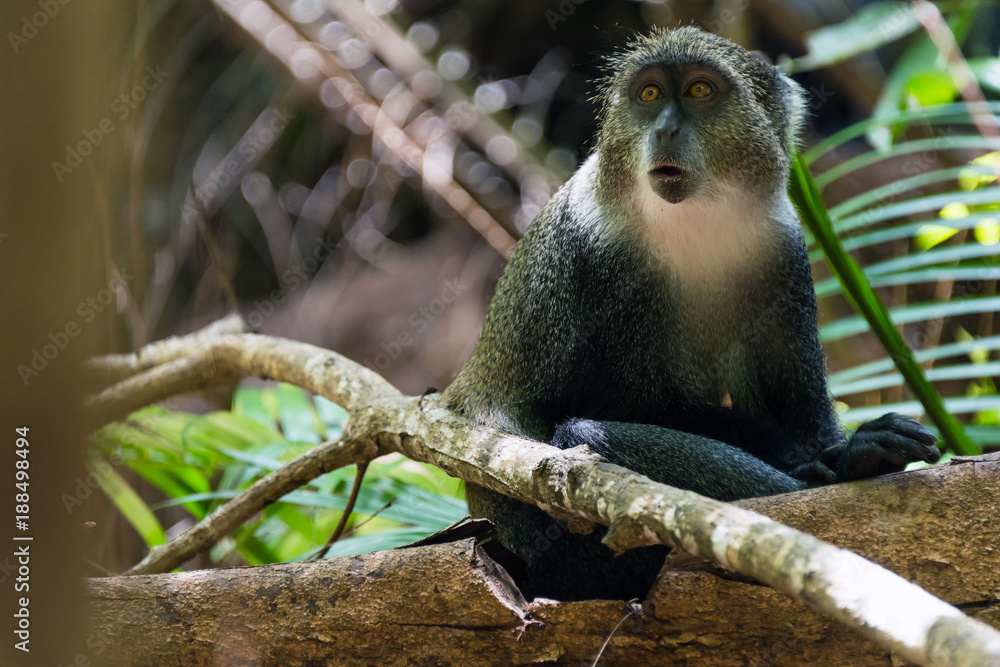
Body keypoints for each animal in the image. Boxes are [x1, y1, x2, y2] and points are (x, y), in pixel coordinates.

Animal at [442, 26, 941, 601]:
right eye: (650, 94)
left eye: (700, 90)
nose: (664, 129)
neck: (696, 216)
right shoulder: (603, 255)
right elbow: (633, 403)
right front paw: (829, 460)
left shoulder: (781, 246)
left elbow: (799, 403)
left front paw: (843, 450)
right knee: (584, 438)